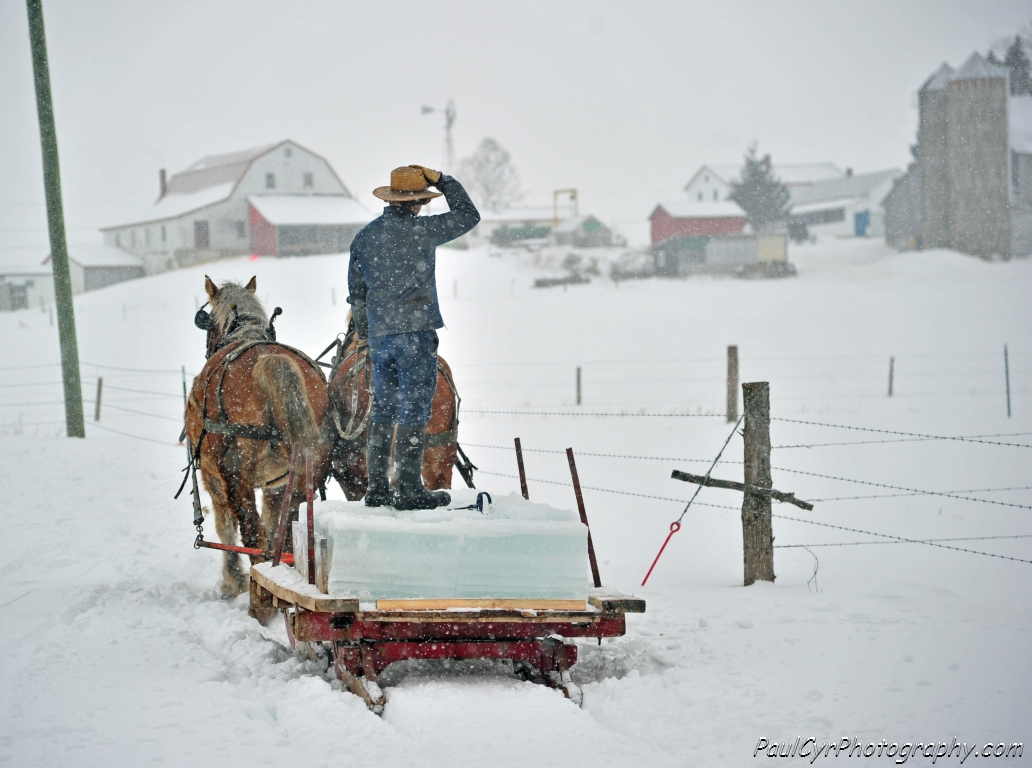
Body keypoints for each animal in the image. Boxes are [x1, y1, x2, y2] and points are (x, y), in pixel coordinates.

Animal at [183, 276, 332, 598]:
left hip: (234, 474)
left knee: (252, 534)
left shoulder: (213, 478)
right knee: (287, 530)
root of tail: (272, 361)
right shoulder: (275, 486)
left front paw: (232, 580)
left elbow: (225, 526)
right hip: (308, 468)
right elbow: (274, 526)